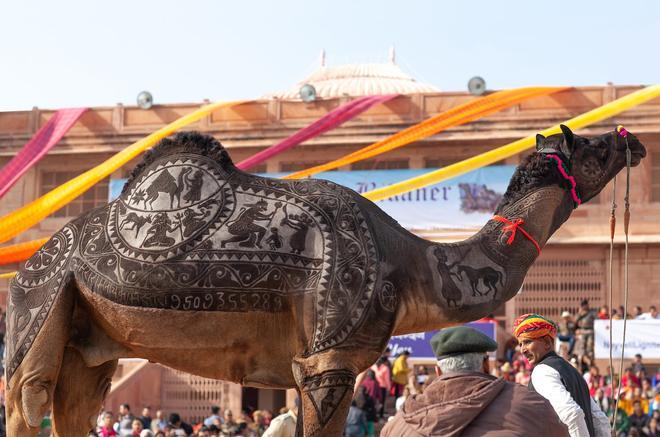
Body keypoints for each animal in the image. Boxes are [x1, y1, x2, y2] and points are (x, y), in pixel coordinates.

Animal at [3, 124, 644, 434]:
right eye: (589, 147)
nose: (631, 139)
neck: (412, 266)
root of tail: (31, 261)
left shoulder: (319, 362)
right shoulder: (327, 360)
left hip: (90, 344)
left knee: (75, 409)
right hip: (41, 306)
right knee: (26, 403)